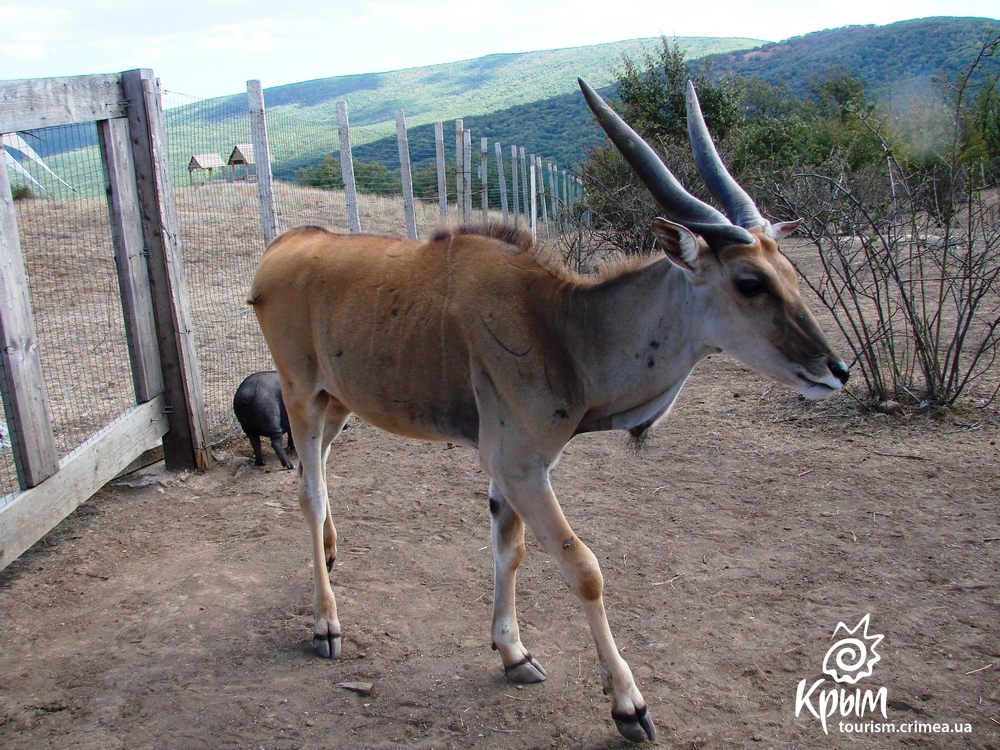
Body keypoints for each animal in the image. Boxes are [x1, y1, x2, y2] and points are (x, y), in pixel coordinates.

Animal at [246, 79, 848, 744]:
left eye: (789, 269)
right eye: (749, 282)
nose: (836, 370)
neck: (559, 326)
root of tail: (282, 247)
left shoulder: (516, 471)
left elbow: (510, 550)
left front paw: (513, 653)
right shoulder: (520, 465)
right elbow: (583, 567)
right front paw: (628, 705)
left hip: (337, 405)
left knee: (320, 476)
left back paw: (330, 555)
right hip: (300, 396)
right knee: (308, 493)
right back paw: (326, 625)